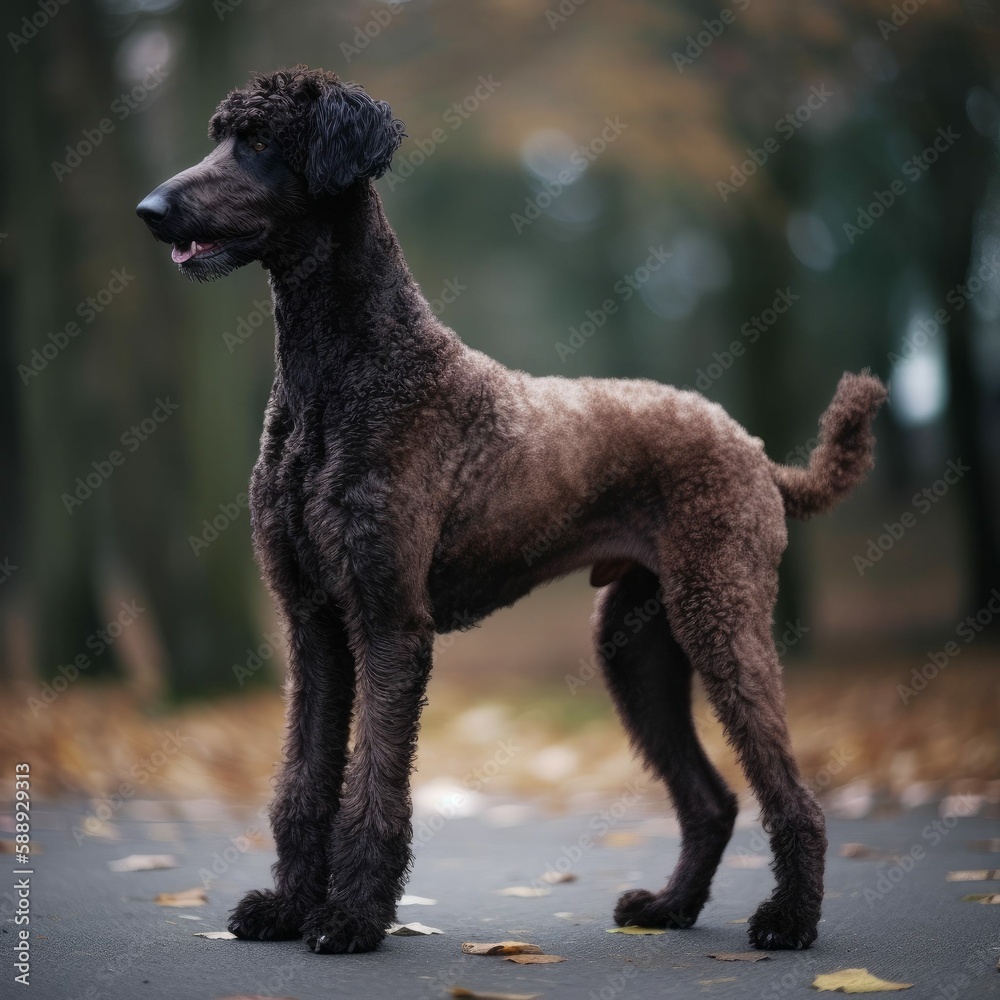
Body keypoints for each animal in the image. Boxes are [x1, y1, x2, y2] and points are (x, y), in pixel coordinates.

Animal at [137, 66, 888, 956]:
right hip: (637, 648)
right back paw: (668, 907)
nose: (150, 208)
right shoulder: (313, 622)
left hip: (721, 618)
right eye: (220, 133)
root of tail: (754, 447)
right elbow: (303, 780)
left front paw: (352, 917)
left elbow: (374, 785)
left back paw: (788, 920)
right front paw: (288, 908)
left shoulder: (390, 621)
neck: (344, 375)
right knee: (711, 797)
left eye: (257, 142)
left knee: (789, 793)